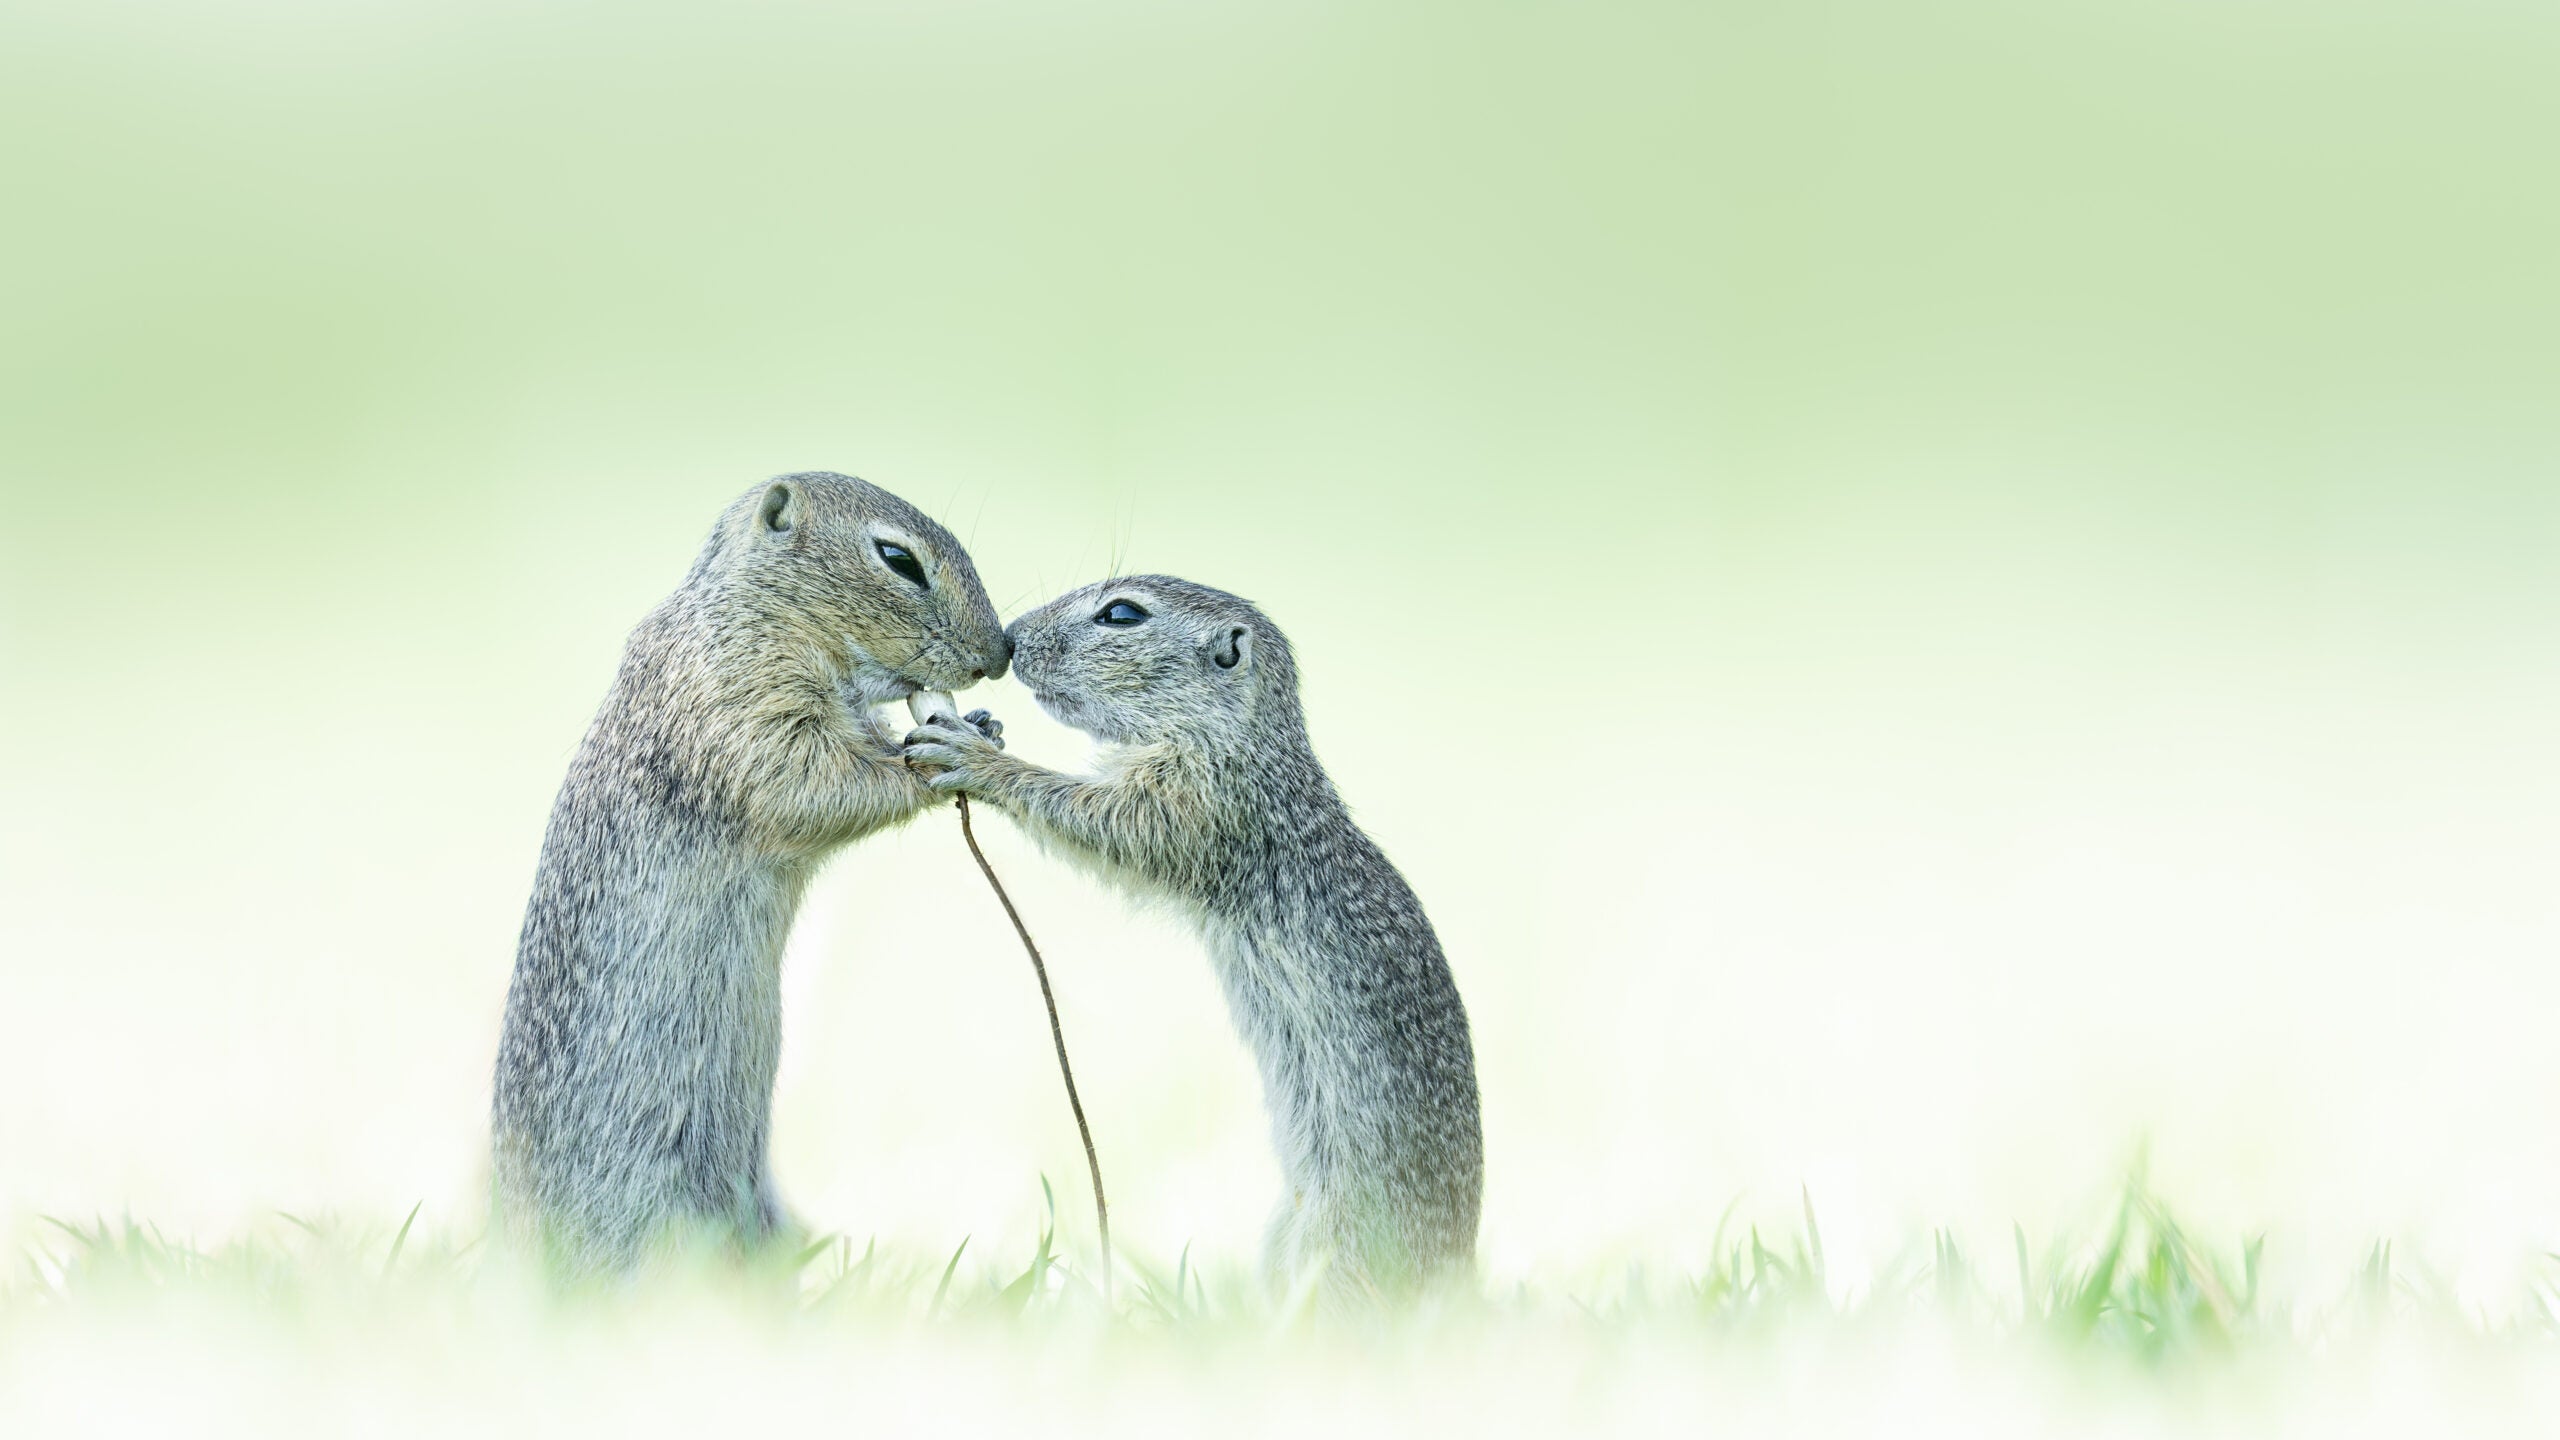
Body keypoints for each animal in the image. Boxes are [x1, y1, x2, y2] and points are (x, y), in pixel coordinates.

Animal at [488, 474, 1008, 1276]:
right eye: (898, 559)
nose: (1003, 651)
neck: (756, 606)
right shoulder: (746, 701)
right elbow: (811, 781)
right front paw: (936, 754)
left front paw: (980, 727)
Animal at [911, 573, 1495, 1301]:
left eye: (1122, 614)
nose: (1013, 638)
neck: (1245, 741)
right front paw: (985, 725)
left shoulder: (1199, 803)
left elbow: (1103, 818)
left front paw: (979, 756)